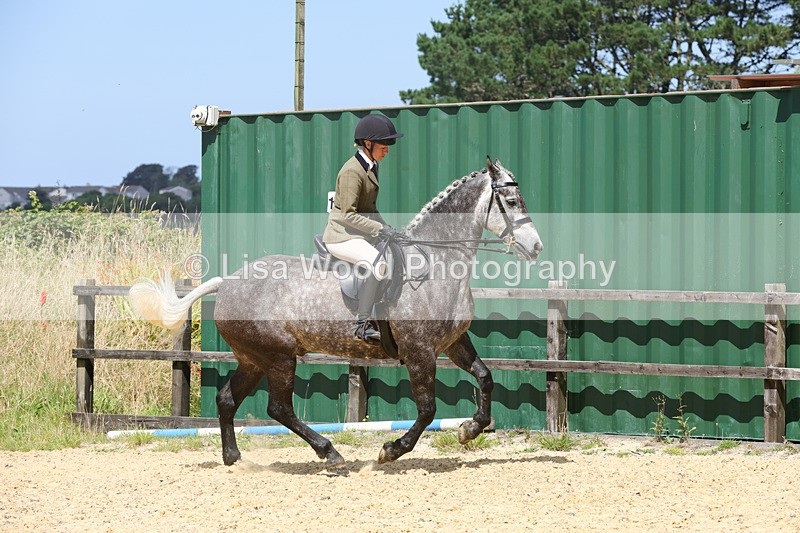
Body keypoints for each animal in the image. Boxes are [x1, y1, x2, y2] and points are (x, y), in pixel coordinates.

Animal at [130, 157, 543, 467]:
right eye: (511, 202)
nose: (536, 247)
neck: (437, 262)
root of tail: (226, 282)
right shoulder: (419, 351)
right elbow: (427, 409)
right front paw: (391, 450)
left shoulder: (453, 342)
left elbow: (485, 378)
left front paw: (470, 429)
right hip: (279, 355)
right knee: (279, 408)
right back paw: (329, 452)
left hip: (254, 357)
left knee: (228, 400)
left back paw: (234, 458)